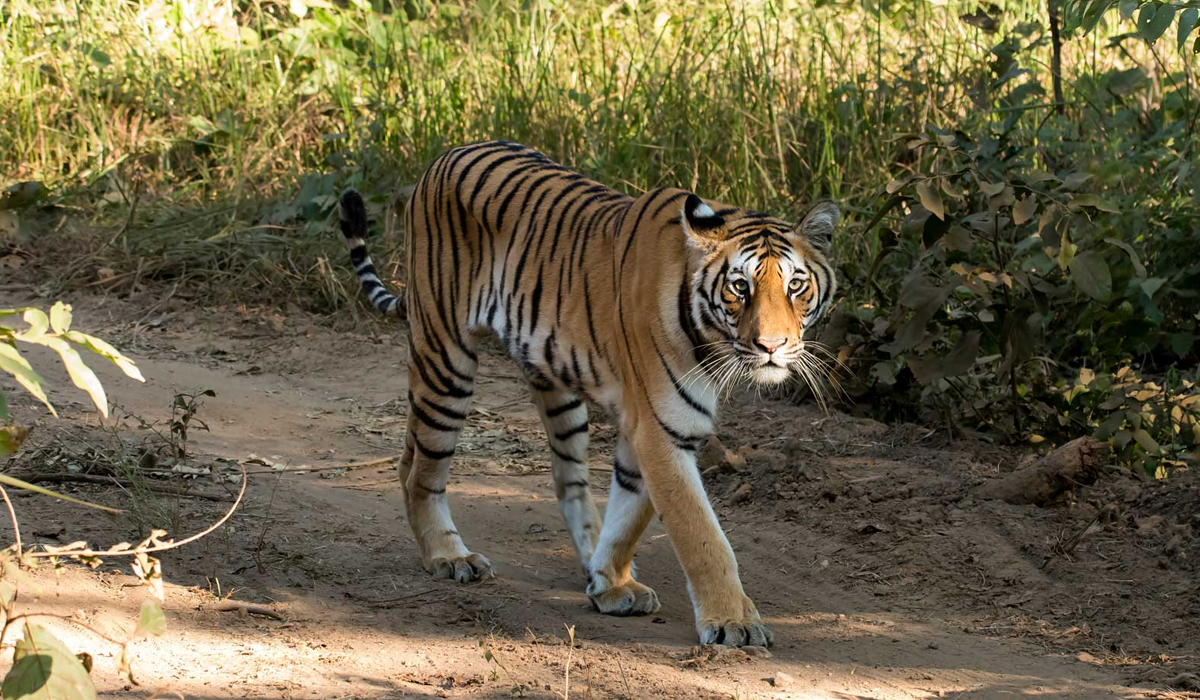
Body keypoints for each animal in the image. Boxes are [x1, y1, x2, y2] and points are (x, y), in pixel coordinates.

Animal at [338, 139, 840, 648]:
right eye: (740, 286)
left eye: (796, 285)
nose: (772, 346)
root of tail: (444, 156)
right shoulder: (662, 430)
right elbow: (702, 534)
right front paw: (733, 622)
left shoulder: (654, 427)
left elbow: (630, 512)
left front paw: (611, 583)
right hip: (446, 359)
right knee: (425, 472)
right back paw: (448, 556)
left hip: (555, 385)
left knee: (548, 476)